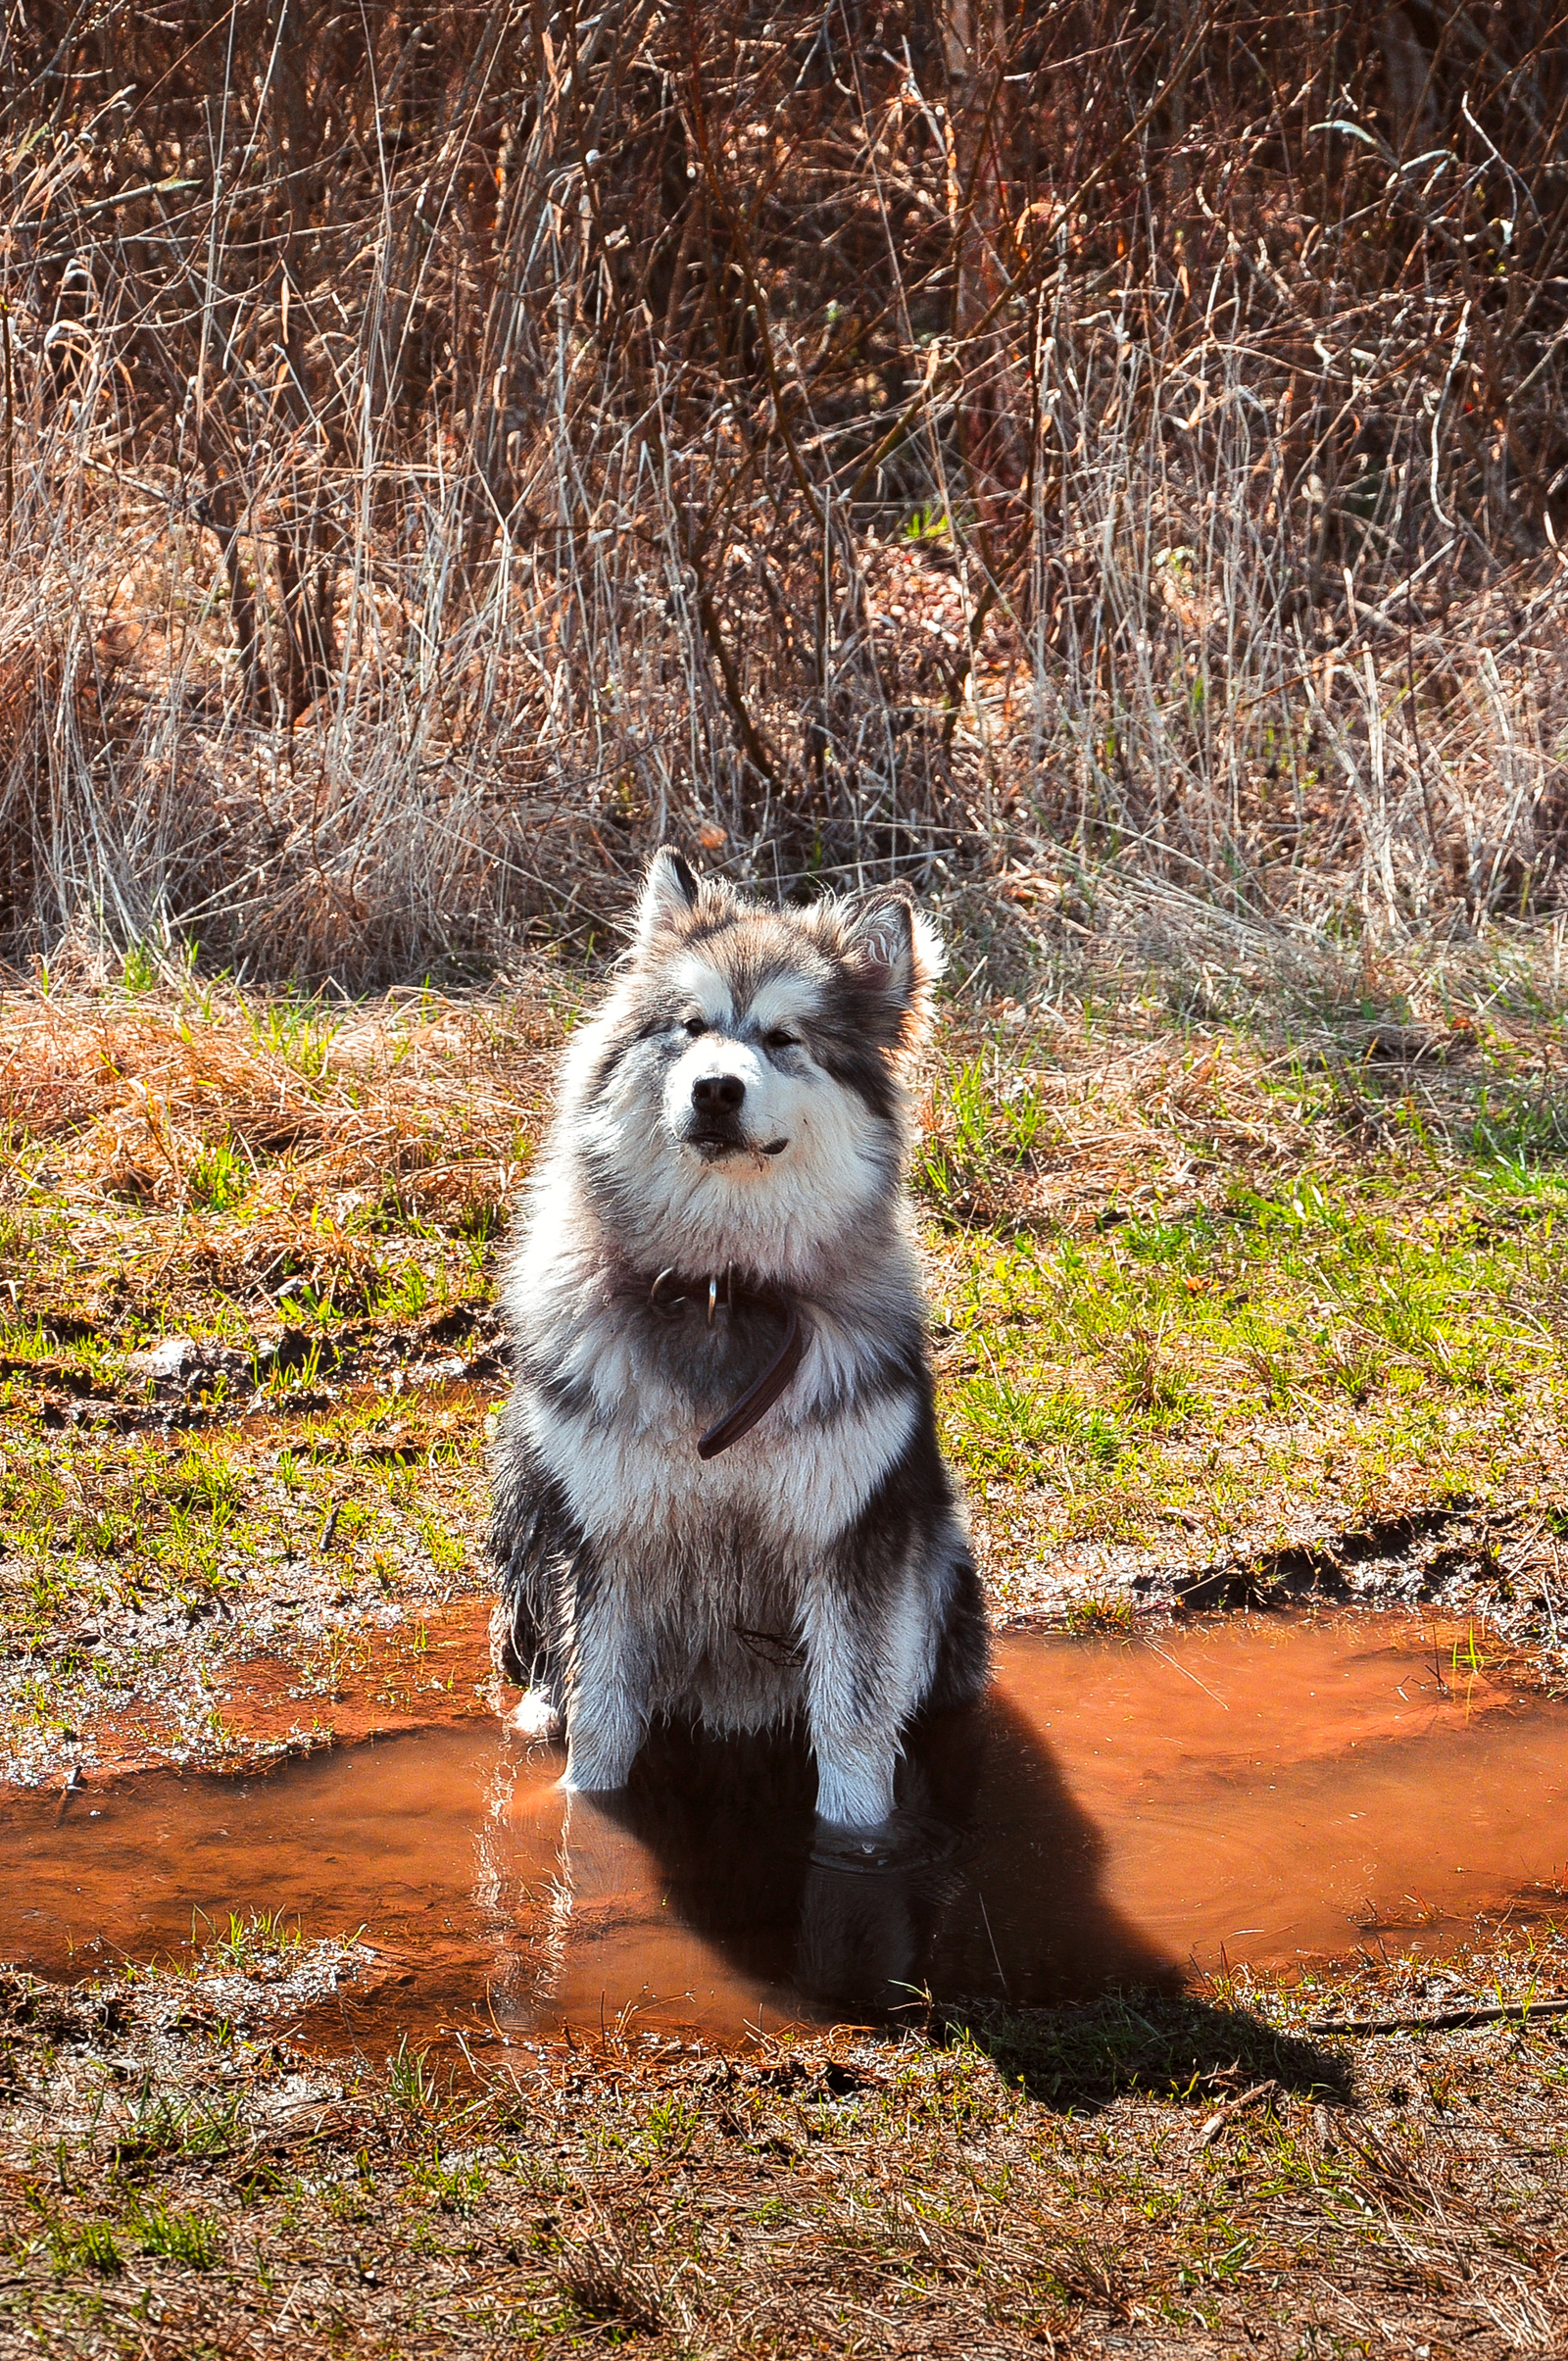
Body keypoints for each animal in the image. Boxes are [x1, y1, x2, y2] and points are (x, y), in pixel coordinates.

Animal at [483, 850, 987, 1822]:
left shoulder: (851, 1542)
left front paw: (860, 1844)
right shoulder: (607, 1541)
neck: (722, 1290)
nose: (716, 1087)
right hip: (529, 1489)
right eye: (691, 1026)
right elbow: (601, 1723)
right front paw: (583, 1821)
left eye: (785, 1039)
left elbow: (855, 1741)